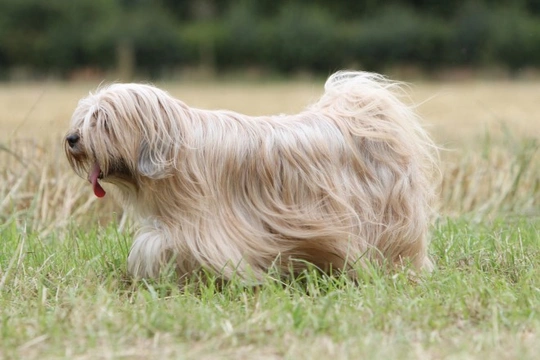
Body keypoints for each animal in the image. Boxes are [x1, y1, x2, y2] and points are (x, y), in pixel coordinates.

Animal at [66, 71, 438, 282]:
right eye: (83, 118)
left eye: (102, 120)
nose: (71, 138)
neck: (176, 145)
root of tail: (362, 115)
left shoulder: (209, 226)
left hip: (387, 215)